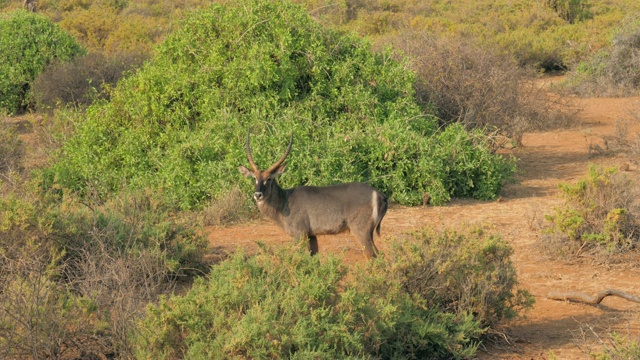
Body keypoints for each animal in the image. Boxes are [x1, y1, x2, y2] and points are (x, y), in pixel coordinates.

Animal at [238, 131, 388, 258]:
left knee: (373, 255)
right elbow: (314, 258)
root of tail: (380, 195)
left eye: (269, 178)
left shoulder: (300, 234)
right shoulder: (312, 235)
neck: (284, 202)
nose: (258, 195)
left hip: (361, 230)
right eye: (254, 178)